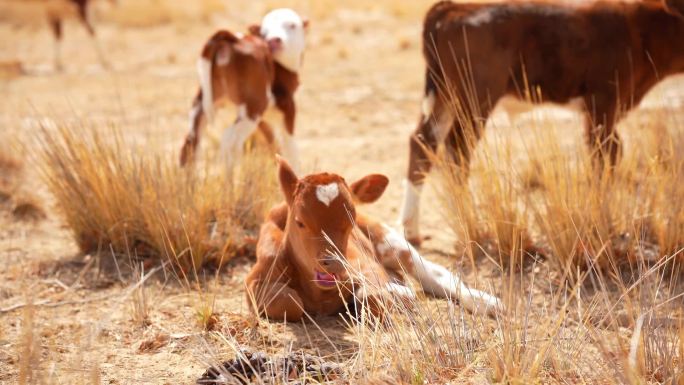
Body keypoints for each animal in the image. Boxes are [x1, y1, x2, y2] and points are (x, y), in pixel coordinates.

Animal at [179, 8, 308, 170]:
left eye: (292, 25)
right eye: (265, 30)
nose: (274, 40)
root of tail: (234, 38)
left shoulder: (263, 118)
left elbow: (272, 142)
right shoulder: (288, 106)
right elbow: (290, 145)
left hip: (203, 103)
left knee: (191, 141)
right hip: (253, 107)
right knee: (230, 140)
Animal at [246, 156, 502, 320]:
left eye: (350, 220)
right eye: (300, 221)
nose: (333, 262)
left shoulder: (366, 266)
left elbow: (373, 297)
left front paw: (397, 294)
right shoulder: (254, 282)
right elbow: (289, 302)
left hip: (388, 239)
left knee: (435, 274)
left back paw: (486, 302)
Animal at [398, 0, 684, 244]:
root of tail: (454, 7)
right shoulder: (602, 104)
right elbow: (605, 159)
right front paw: (604, 223)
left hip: (446, 97)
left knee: (423, 142)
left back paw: (412, 231)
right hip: (474, 97)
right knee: (457, 150)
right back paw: (471, 223)